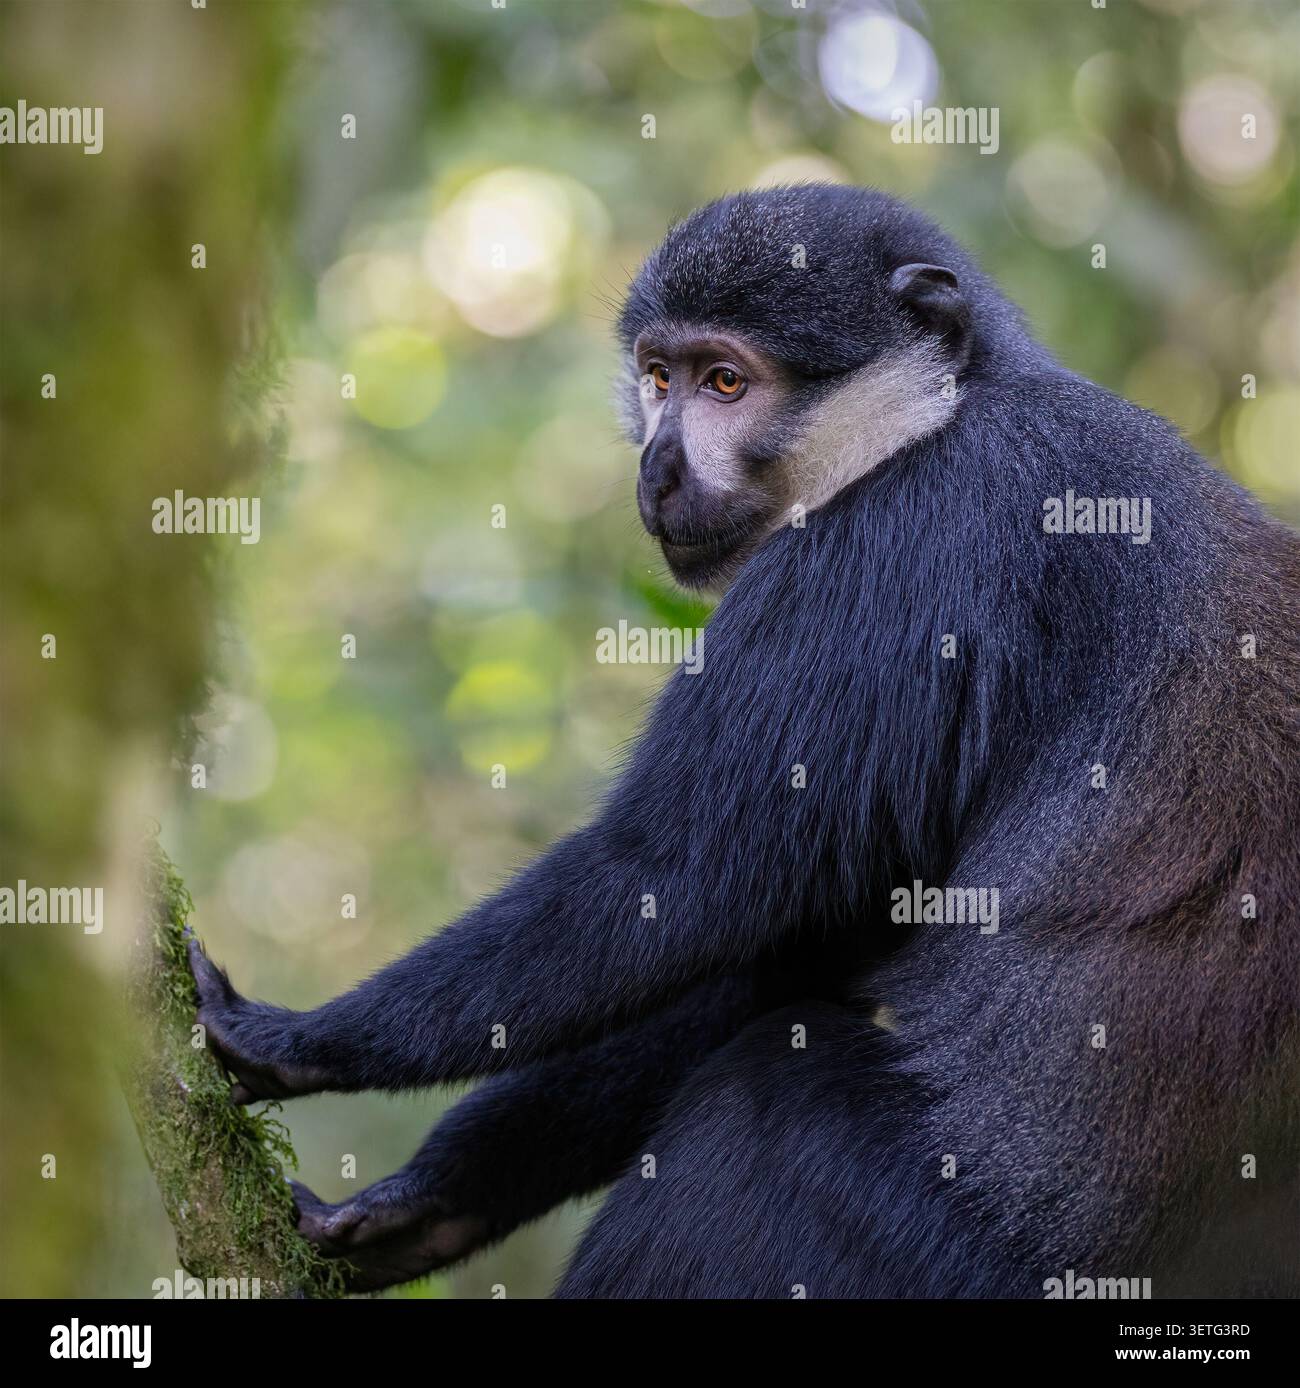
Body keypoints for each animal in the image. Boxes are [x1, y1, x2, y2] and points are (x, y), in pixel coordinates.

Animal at [189, 184, 1300, 1298]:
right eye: (657, 377)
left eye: (726, 382)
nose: (656, 463)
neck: (943, 409)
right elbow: (792, 952)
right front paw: (427, 1203)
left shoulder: (902, 547)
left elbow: (671, 880)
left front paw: (298, 1042)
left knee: (765, 1099)